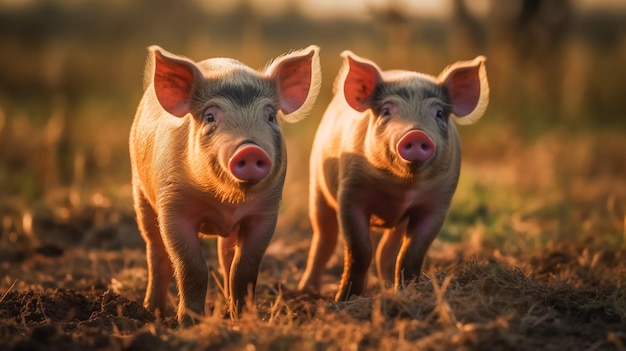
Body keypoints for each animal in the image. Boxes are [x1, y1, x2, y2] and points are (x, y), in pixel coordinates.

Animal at [129, 45, 320, 326]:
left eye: (271, 116)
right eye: (210, 117)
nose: (250, 148)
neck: (227, 202)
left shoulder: (266, 212)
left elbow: (245, 268)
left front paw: (246, 320)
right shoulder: (172, 207)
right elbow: (192, 267)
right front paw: (189, 324)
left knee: (226, 256)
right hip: (139, 191)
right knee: (155, 251)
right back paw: (151, 312)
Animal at [296, 51, 488, 302]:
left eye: (438, 113)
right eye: (387, 111)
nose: (416, 134)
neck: (402, 188)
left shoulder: (438, 203)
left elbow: (411, 254)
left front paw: (409, 292)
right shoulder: (350, 193)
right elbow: (359, 251)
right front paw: (344, 300)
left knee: (386, 251)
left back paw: (387, 287)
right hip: (317, 187)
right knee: (323, 239)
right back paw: (305, 290)